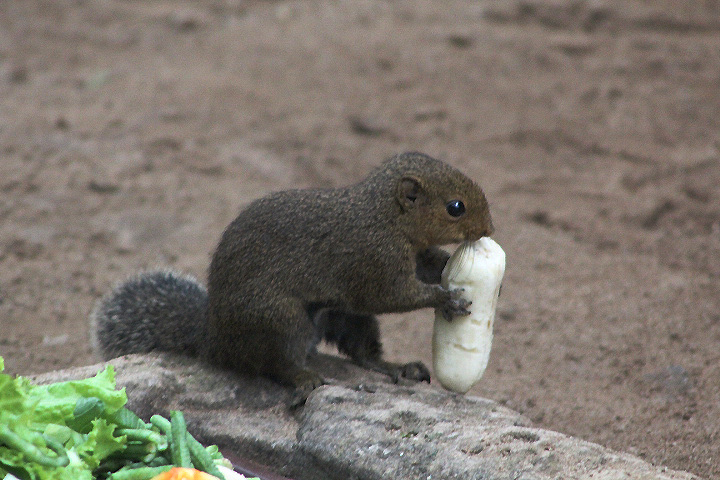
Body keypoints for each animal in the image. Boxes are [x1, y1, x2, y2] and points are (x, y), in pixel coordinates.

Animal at [91, 152, 494, 406]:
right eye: (455, 208)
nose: (490, 229)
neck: (385, 218)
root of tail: (214, 338)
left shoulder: (410, 254)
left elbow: (427, 265)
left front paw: (449, 265)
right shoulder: (371, 259)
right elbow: (391, 295)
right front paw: (445, 298)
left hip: (339, 316)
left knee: (362, 351)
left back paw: (396, 367)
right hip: (279, 320)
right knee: (272, 364)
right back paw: (303, 378)